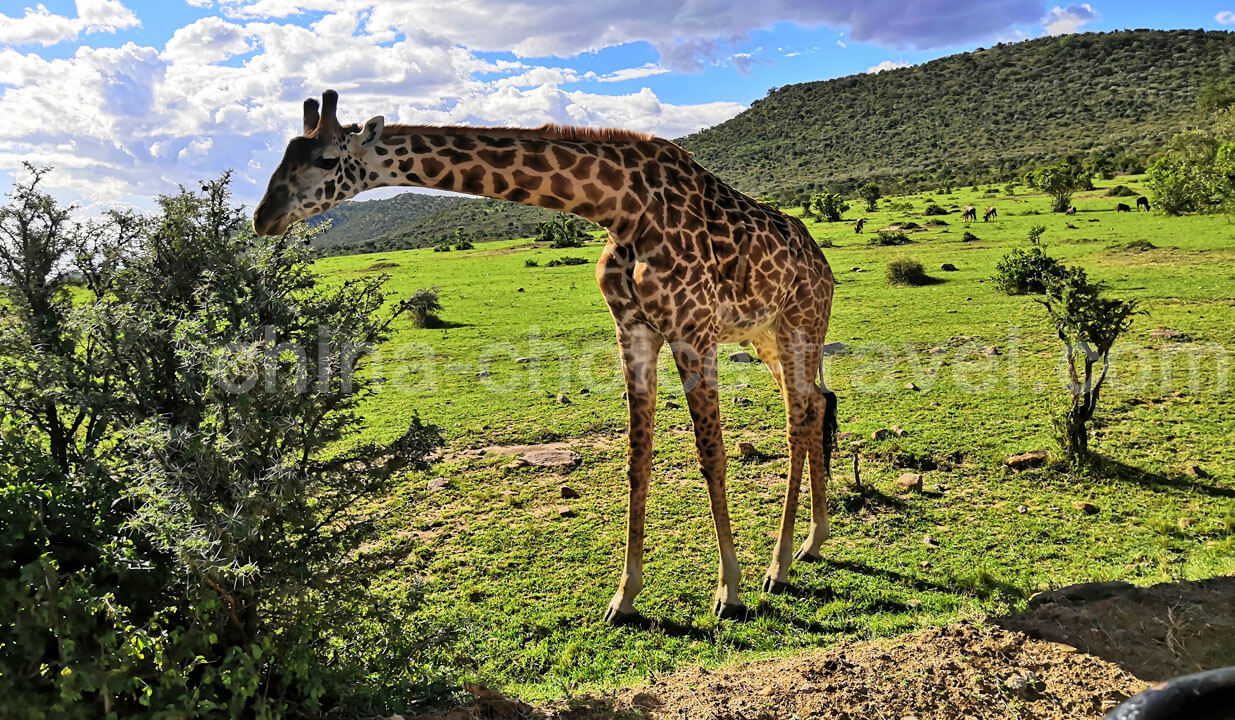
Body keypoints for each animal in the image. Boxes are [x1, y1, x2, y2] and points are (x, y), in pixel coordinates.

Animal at [259, 88, 839, 619]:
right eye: (283, 154)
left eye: (327, 160)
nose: (264, 217)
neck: (623, 209)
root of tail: (823, 264)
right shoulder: (633, 330)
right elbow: (637, 459)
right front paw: (624, 597)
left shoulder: (691, 329)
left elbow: (711, 456)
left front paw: (728, 592)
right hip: (765, 337)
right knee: (815, 404)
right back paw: (812, 543)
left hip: (799, 326)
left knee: (798, 421)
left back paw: (779, 566)